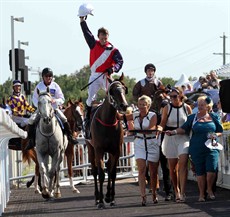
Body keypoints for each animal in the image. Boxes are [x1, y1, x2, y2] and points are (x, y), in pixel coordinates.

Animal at [86, 73, 129, 209]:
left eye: (124, 89)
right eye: (112, 91)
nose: (124, 106)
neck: (108, 121)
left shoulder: (116, 149)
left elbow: (113, 172)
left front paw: (112, 198)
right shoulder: (99, 149)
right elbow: (100, 174)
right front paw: (100, 201)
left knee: (109, 167)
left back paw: (108, 195)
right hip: (90, 148)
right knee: (94, 171)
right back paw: (97, 198)